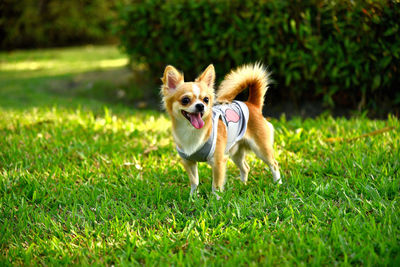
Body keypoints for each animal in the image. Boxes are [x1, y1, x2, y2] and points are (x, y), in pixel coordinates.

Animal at [160, 63, 282, 197]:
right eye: (185, 100)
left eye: (206, 100)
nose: (200, 106)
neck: (191, 131)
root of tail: (252, 104)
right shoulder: (189, 161)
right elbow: (194, 181)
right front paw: (193, 197)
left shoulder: (218, 162)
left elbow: (216, 185)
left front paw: (216, 199)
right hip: (236, 152)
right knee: (245, 168)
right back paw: (243, 185)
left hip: (261, 149)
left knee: (274, 164)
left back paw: (278, 184)